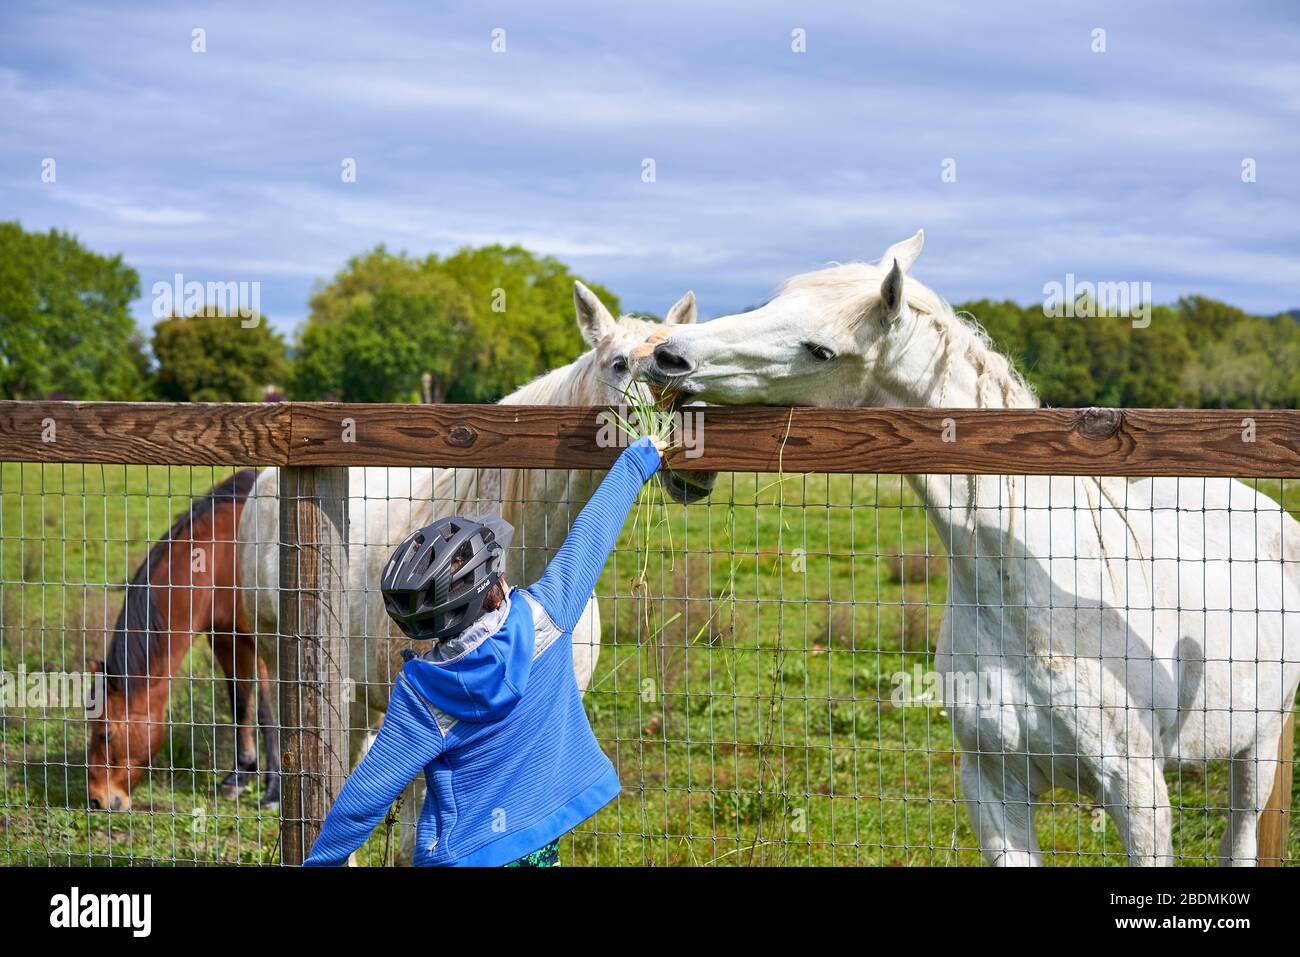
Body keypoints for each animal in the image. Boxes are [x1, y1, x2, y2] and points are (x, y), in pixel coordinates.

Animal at [85, 469, 279, 813]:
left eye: (105, 733)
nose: (97, 799)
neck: (221, 556)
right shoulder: (225, 638)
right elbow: (240, 702)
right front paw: (239, 777)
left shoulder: (263, 642)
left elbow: (267, 712)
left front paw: (272, 791)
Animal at [637, 230, 1300, 866]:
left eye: (820, 349)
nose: (667, 355)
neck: (1030, 602)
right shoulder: (993, 788)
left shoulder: (1138, 794)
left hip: (1258, 749)